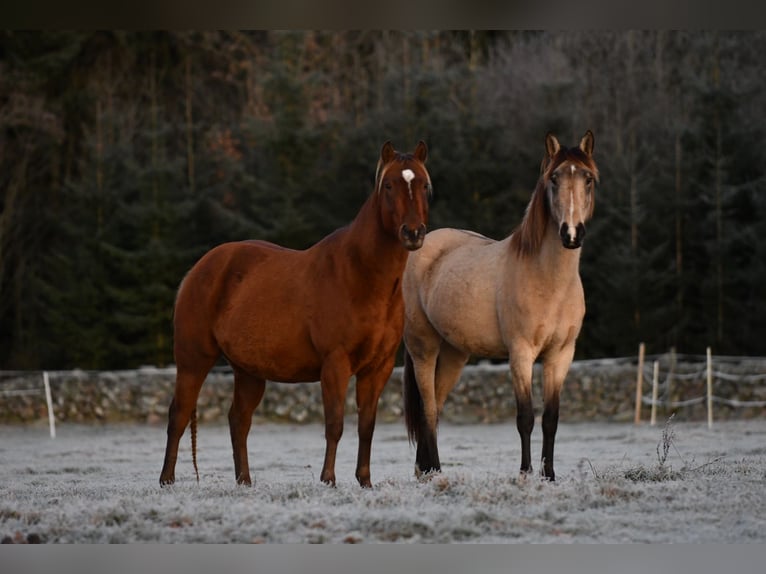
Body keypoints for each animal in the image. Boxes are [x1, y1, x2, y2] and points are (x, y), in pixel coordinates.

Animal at [160, 140, 432, 488]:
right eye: (388, 185)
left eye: (423, 185)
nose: (413, 233)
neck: (360, 275)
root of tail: (198, 270)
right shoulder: (335, 363)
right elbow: (335, 424)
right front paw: (328, 480)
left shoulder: (378, 368)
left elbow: (366, 426)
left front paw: (365, 482)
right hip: (193, 361)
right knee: (179, 414)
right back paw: (167, 480)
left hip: (248, 371)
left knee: (238, 420)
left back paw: (244, 481)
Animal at [402, 131, 598, 481]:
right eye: (554, 179)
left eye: (587, 179)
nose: (571, 233)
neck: (548, 280)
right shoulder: (520, 354)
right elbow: (526, 417)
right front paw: (525, 473)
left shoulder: (561, 355)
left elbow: (551, 418)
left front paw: (549, 476)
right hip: (423, 348)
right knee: (428, 408)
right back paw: (435, 470)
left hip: (454, 355)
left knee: (435, 406)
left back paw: (424, 470)